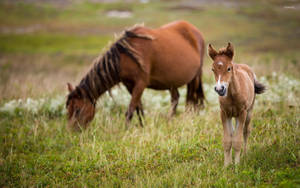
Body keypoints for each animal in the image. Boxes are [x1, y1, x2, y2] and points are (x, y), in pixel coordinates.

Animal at [66, 20, 205, 129]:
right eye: (68, 110)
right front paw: (142, 126)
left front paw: (125, 131)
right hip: (171, 82)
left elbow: (130, 110)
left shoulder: (140, 84)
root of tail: (195, 31)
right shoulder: (129, 85)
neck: (125, 57)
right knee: (175, 99)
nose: (72, 132)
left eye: (78, 110)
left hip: (195, 77)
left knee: (191, 100)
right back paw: (169, 121)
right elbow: (139, 109)